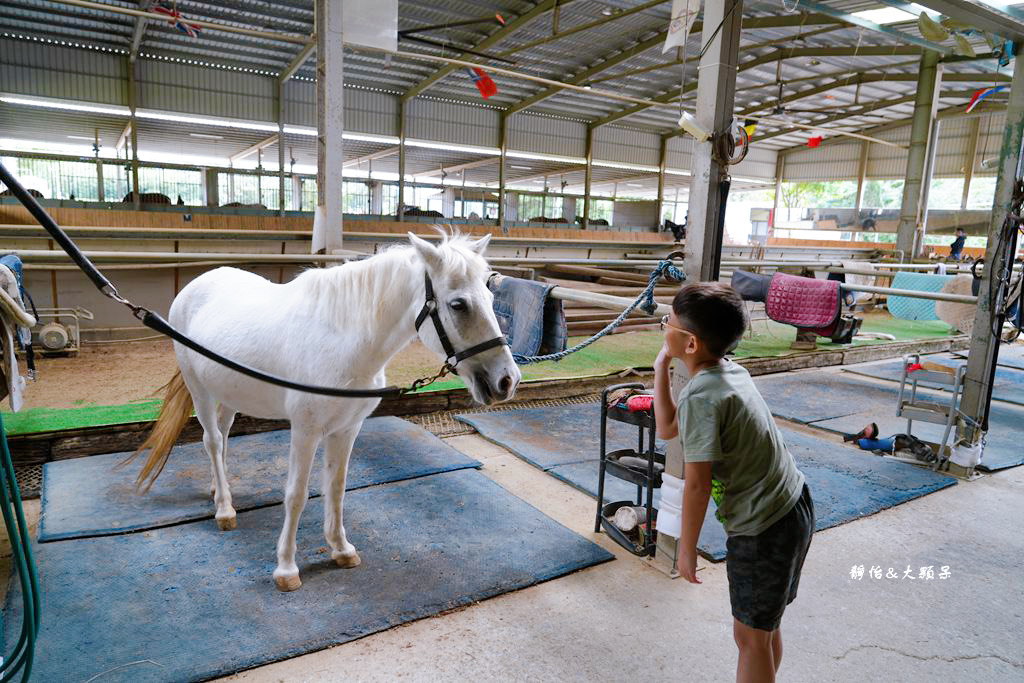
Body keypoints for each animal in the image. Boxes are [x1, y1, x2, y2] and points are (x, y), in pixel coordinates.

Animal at [130, 232, 520, 589]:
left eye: (490, 297)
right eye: (458, 304)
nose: (507, 380)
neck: (344, 341)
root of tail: (194, 286)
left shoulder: (346, 428)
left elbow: (336, 486)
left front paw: (340, 549)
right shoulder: (305, 431)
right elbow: (296, 494)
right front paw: (286, 568)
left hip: (228, 390)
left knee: (222, 438)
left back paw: (217, 490)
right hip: (198, 386)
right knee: (211, 440)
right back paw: (225, 510)